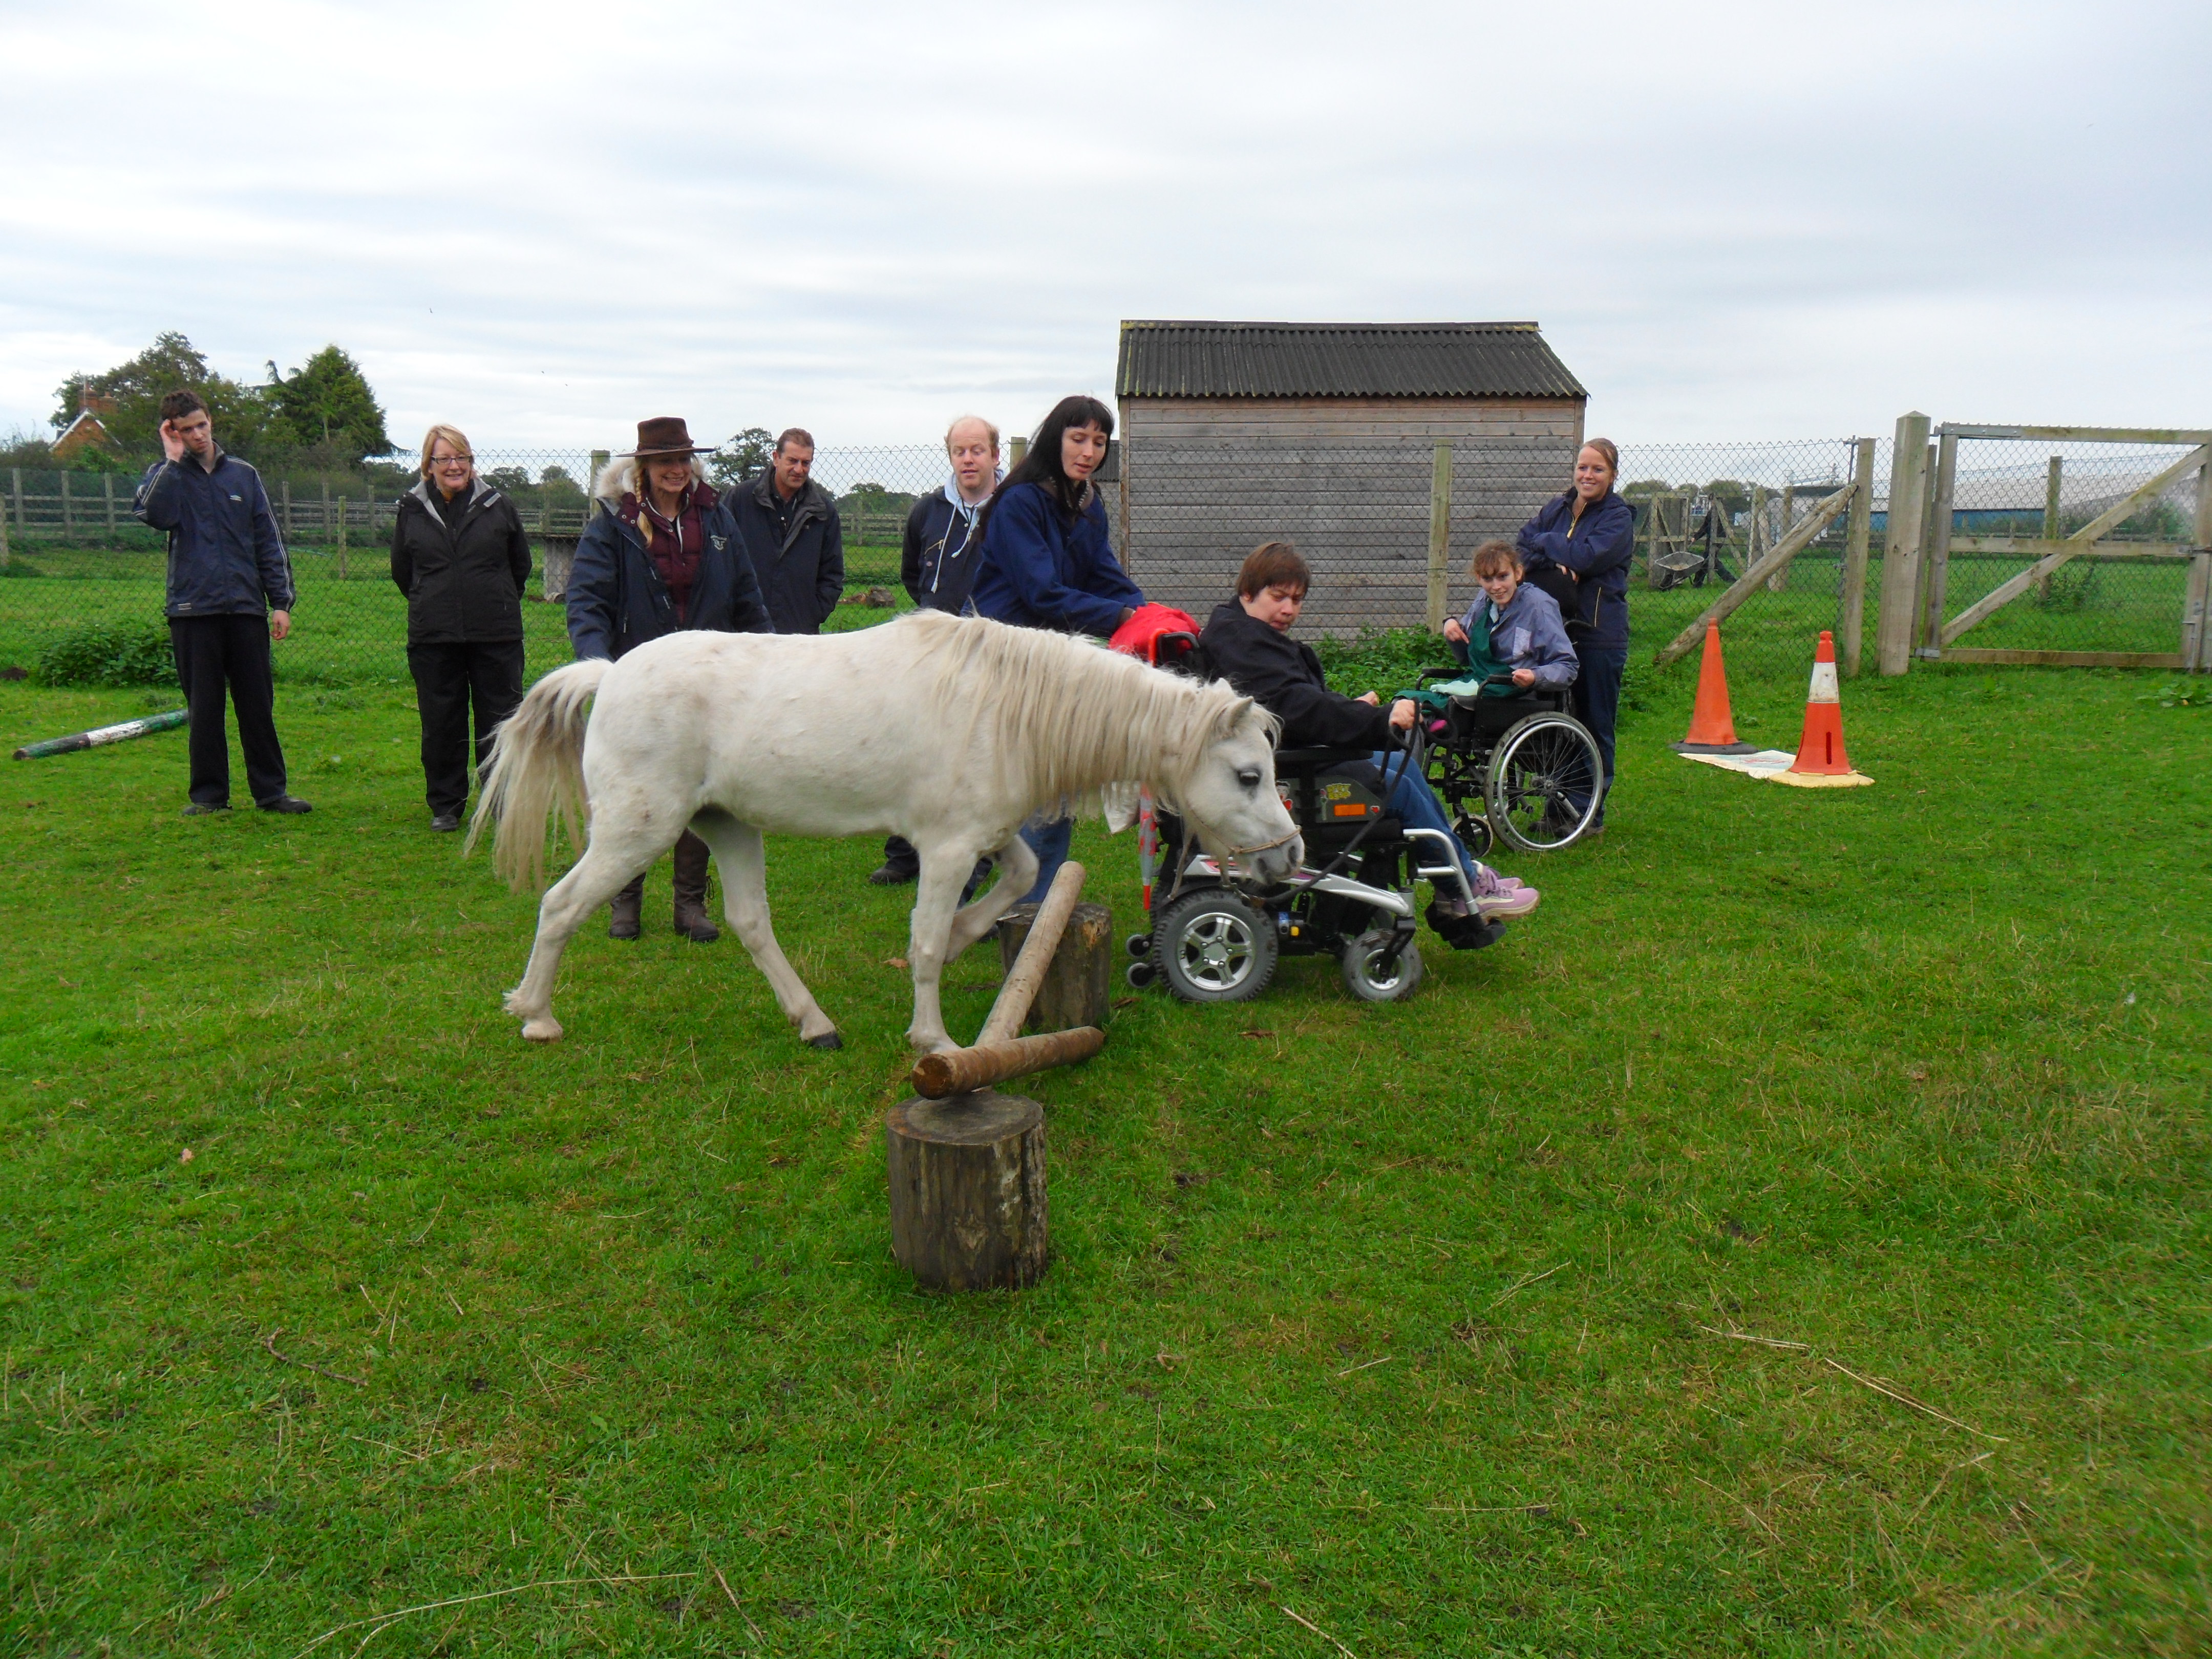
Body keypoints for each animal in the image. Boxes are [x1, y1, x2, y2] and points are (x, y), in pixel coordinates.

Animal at [470, 610, 1301, 1052]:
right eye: (1248, 776)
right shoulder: (947, 848)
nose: (1290, 857)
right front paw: (933, 1038)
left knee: (750, 923)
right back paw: (536, 1015)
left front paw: (968, 938)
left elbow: (1022, 878)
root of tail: (608, 673)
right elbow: (926, 938)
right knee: (561, 905)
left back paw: (814, 1024)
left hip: (728, 827)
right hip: (637, 832)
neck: (1005, 706)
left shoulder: (981, 834)